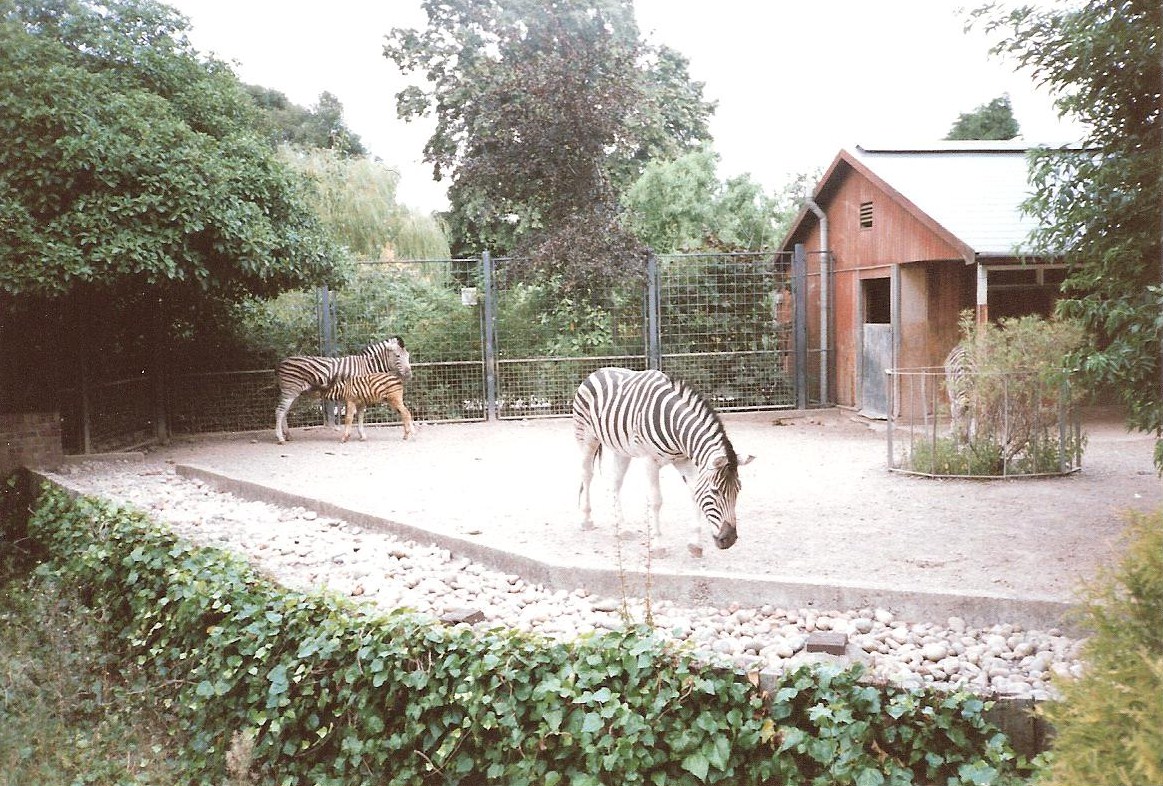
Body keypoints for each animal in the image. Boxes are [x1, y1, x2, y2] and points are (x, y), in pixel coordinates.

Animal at [274, 337, 411, 444]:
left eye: (408, 356)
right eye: (398, 356)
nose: (409, 375)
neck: (366, 366)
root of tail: (282, 361)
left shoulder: (361, 395)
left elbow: (360, 416)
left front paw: (361, 435)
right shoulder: (359, 392)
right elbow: (358, 415)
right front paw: (360, 435)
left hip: (296, 394)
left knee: (285, 412)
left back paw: (288, 436)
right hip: (290, 392)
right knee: (279, 411)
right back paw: (280, 438)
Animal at [572, 367, 755, 557]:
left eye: (738, 490)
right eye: (716, 491)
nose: (730, 540)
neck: (675, 426)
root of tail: (598, 370)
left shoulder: (684, 460)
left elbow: (694, 493)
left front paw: (695, 544)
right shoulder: (649, 461)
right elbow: (656, 500)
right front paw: (658, 545)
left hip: (621, 450)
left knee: (615, 483)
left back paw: (622, 528)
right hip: (586, 437)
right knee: (587, 474)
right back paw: (586, 520)